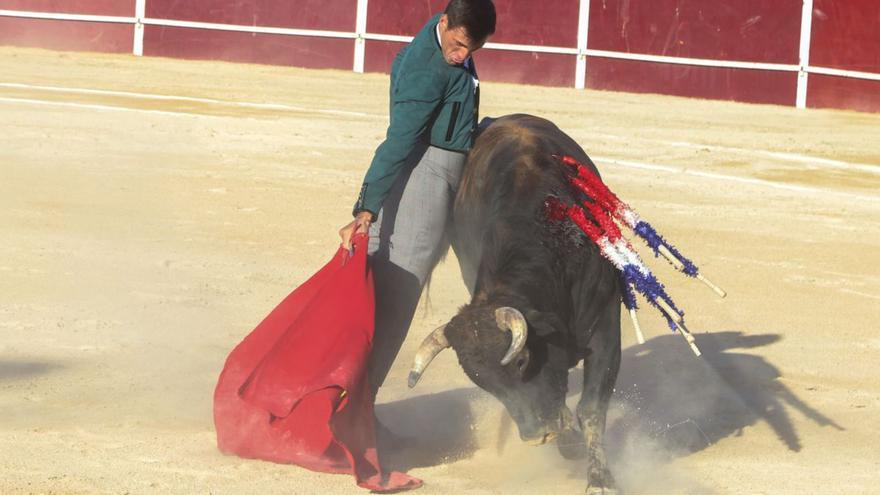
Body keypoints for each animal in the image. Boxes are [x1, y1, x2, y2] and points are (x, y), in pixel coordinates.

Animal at [410, 114, 624, 494]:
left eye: (522, 360)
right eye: (484, 383)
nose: (536, 435)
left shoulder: (605, 325)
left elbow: (592, 408)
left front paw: (601, 480)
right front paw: (568, 442)